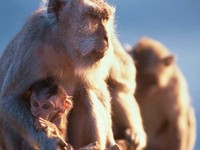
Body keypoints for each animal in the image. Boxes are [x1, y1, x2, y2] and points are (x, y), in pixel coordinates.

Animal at [0, 0, 146, 149]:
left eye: (105, 19)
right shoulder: (32, 41)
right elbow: (10, 99)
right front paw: (49, 140)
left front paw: (111, 142)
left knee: (87, 92)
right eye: (93, 17)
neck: (65, 46)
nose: (107, 37)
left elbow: (103, 88)